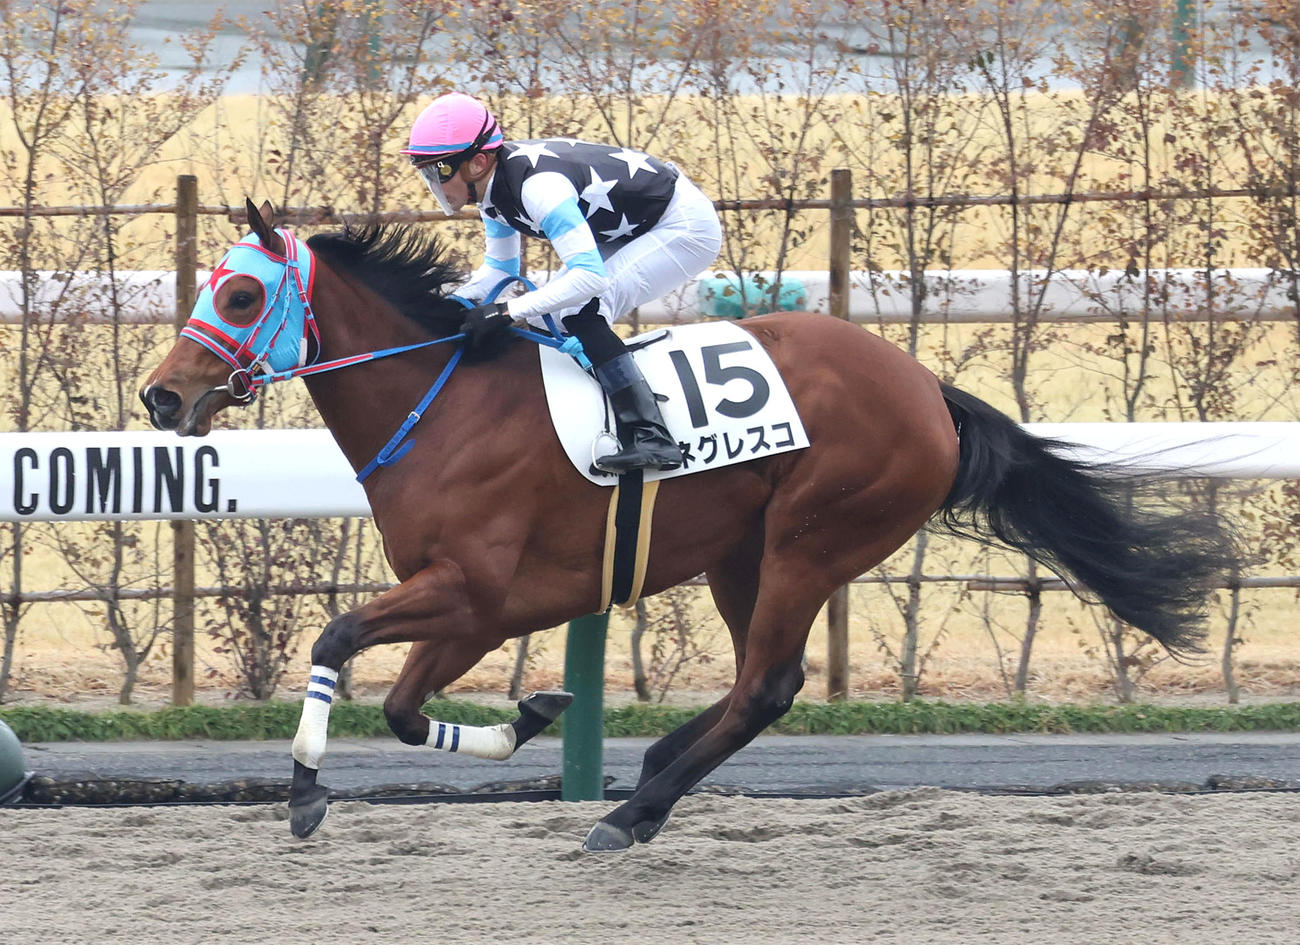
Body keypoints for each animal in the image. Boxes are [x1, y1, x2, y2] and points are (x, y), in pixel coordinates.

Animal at [140, 200, 1238, 852]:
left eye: (240, 291)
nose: (160, 397)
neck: (443, 404)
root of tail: (928, 389)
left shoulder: (471, 590)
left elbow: (334, 638)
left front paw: (304, 794)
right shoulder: (478, 609)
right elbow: (407, 711)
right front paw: (535, 713)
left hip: (811, 538)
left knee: (764, 686)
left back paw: (634, 812)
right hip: (741, 555)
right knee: (766, 681)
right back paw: (659, 762)